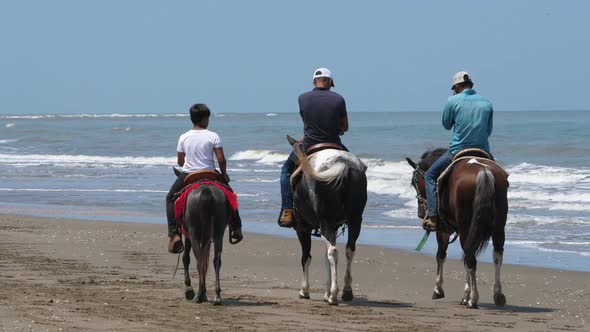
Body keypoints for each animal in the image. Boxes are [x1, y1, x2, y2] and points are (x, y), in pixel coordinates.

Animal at [410, 148, 512, 308]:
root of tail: (484, 171)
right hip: (498, 226)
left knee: (470, 258)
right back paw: (498, 295)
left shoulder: (443, 230)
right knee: (496, 255)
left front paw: (438, 289)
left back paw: (472, 298)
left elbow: (440, 255)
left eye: (415, 181)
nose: (421, 213)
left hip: (466, 227)